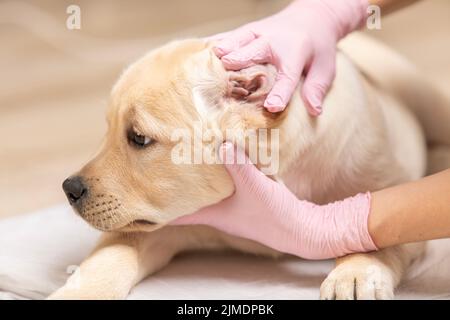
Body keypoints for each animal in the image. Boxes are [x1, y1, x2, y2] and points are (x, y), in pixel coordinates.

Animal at [51, 33, 448, 298]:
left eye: (138, 138)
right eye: (108, 130)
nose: (69, 189)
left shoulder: (386, 188)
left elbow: (373, 233)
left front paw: (354, 274)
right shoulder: (164, 226)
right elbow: (110, 256)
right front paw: (78, 291)